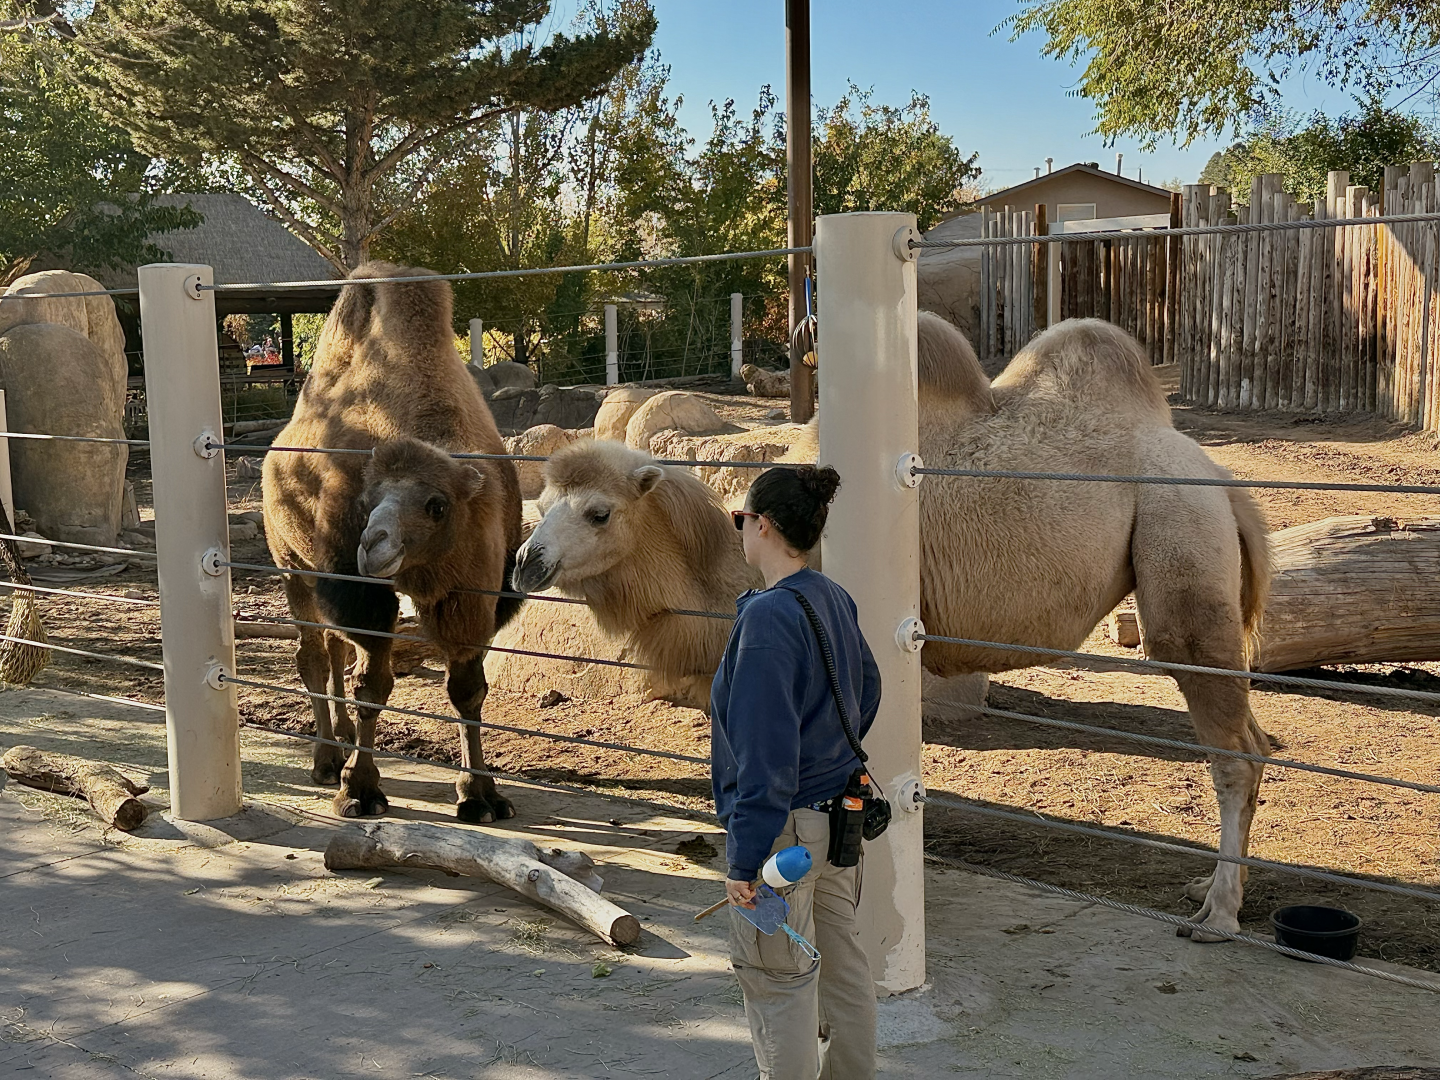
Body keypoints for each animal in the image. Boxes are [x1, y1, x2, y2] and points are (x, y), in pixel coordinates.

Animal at [262, 262, 523, 823]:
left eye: (437, 505)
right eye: (365, 501)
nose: (372, 546)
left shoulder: (470, 593)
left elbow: (468, 690)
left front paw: (482, 795)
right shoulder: (362, 593)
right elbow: (374, 687)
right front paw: (359, 789)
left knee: (333, 647)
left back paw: (338, 739)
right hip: (292, 563)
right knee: (313, 655)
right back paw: (325, 759)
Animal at [515, 314, 1271, 940]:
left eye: (599, 513)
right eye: (544, 503)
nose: (525, 561)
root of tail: (1225, 482)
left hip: (1181, 540)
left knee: (1231, 748)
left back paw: (1217, 916)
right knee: (1257, 741)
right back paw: (1206, 885)